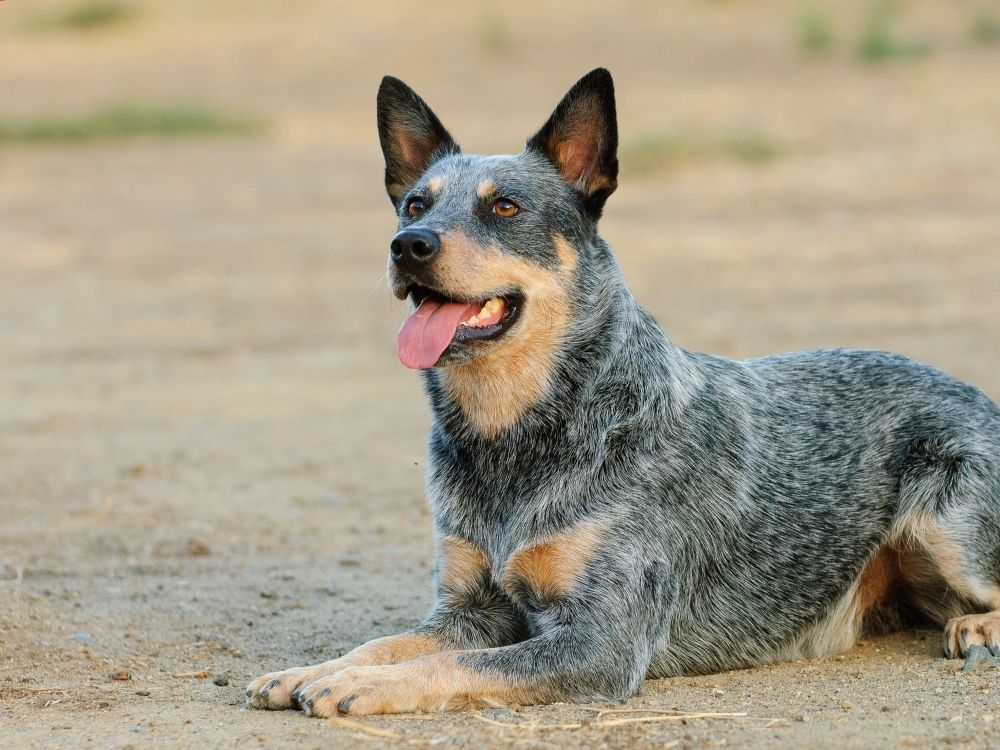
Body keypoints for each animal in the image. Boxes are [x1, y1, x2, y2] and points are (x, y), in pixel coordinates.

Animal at [248, 72, 1000, 724]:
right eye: (414, 204)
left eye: (504, 207)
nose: (408, 245)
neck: (516, 438)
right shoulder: (468, 608)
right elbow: (393, 642)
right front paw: (313, 668)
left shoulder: (600, 639)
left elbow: (453, 664)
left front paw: (360, 685)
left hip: (948, 514)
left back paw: (976, 628)